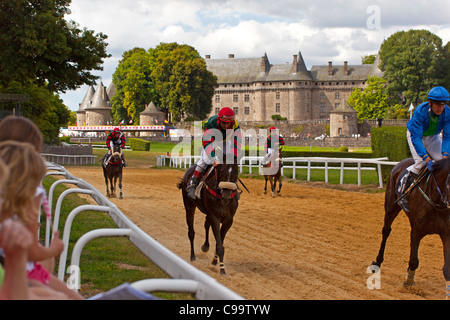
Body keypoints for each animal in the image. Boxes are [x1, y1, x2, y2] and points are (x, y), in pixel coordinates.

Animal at [370, 158, 448, 298]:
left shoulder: (446, 232)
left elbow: (447, 268)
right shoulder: (416, 231)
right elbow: (413, 261)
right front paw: (408, 284)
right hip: (391, 207)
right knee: (386, 231)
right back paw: (377, 262)